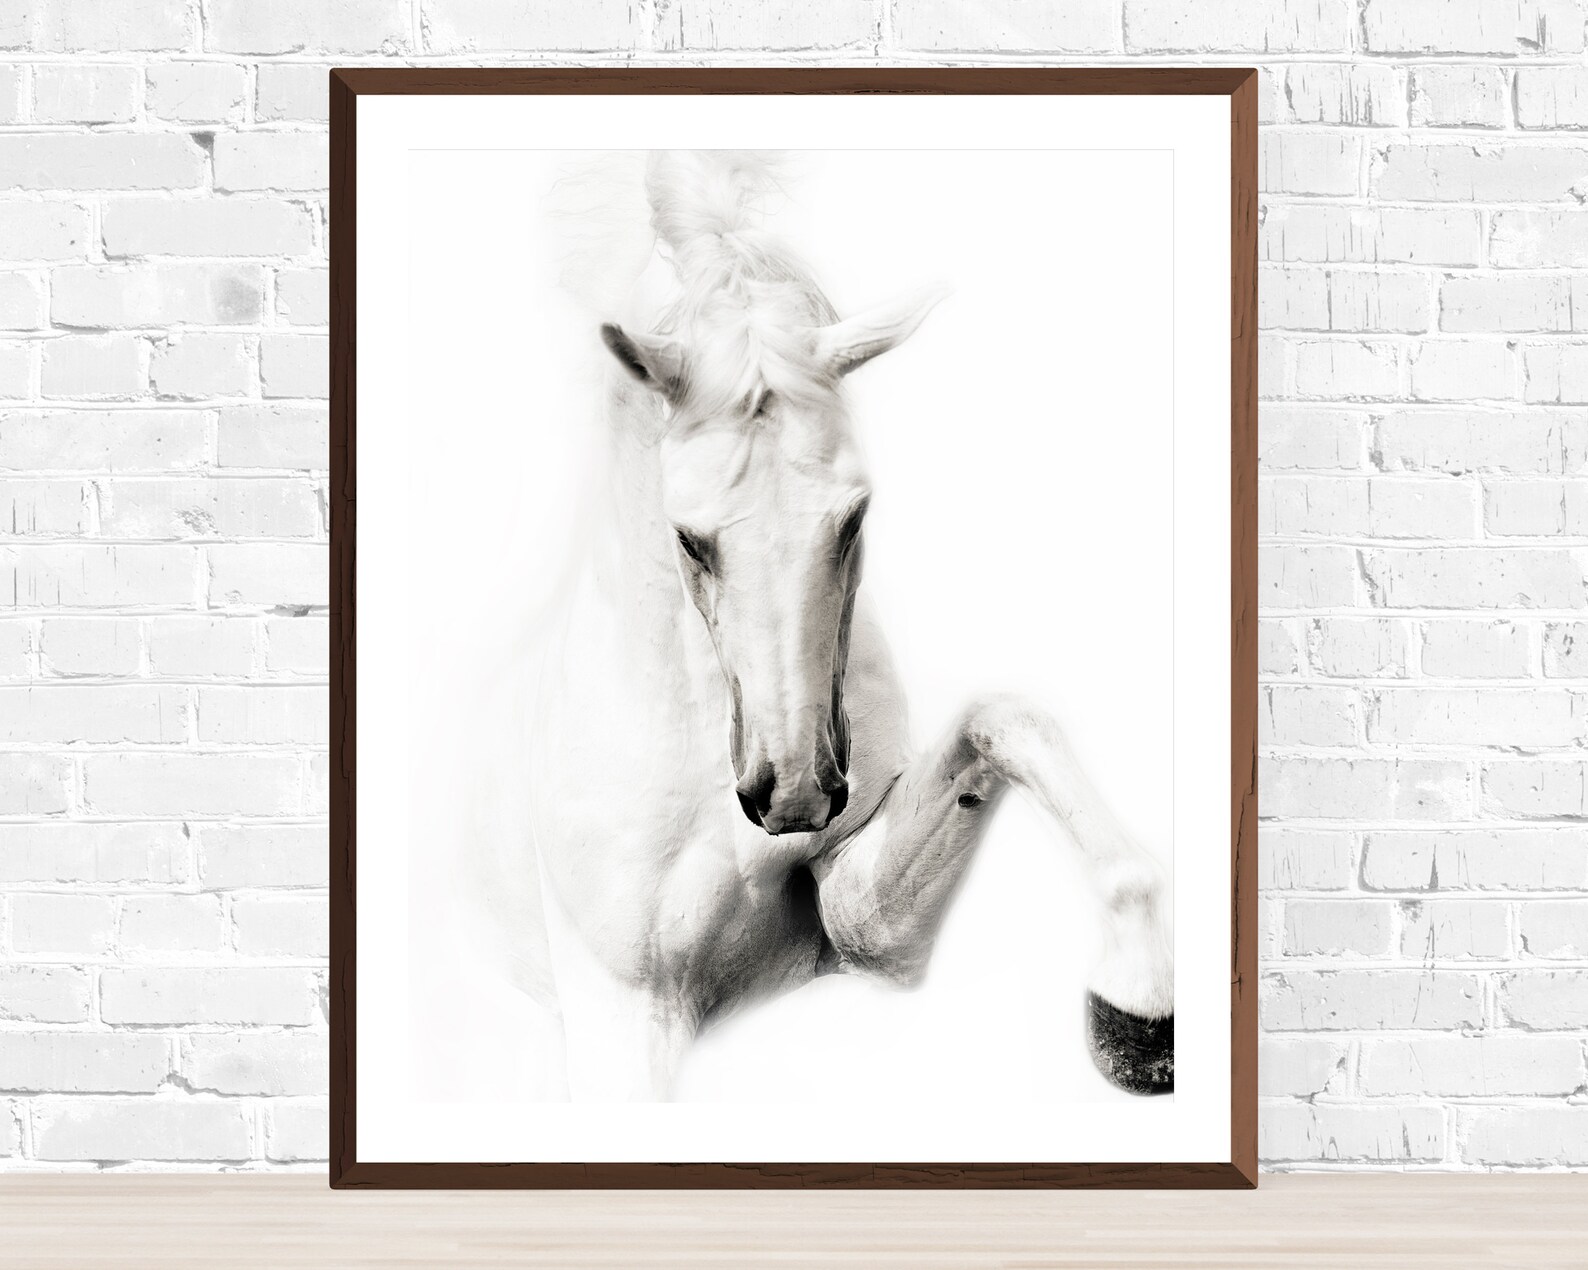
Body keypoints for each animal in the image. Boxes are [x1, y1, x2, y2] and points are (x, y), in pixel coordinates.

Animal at [480, 151, 1174, 1101]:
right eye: (687, 538)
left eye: (855, 515)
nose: (795, 794)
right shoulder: (624, 1018)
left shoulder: (857, 920)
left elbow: (1004, 721)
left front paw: (1136, 1011)